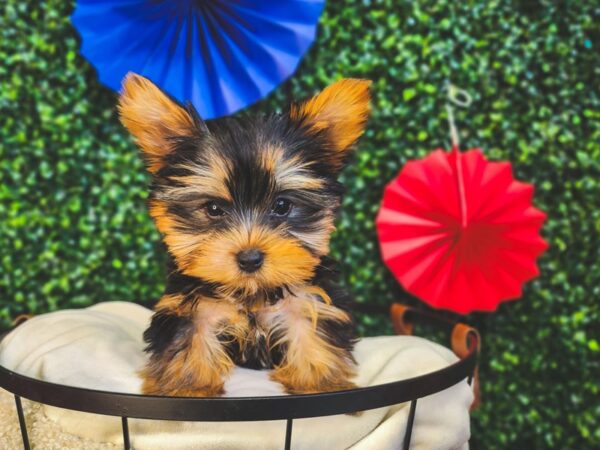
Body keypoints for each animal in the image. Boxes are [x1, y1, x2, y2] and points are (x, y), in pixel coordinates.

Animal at [117, 72, 370, 396]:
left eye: (282, 206)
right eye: (213, 209)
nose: (250, 259)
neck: (250, 291)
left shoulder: (308, 297)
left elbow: (311, 330)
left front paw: (319, 382)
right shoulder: (190, 305)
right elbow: (189, 336)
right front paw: (187, 387)